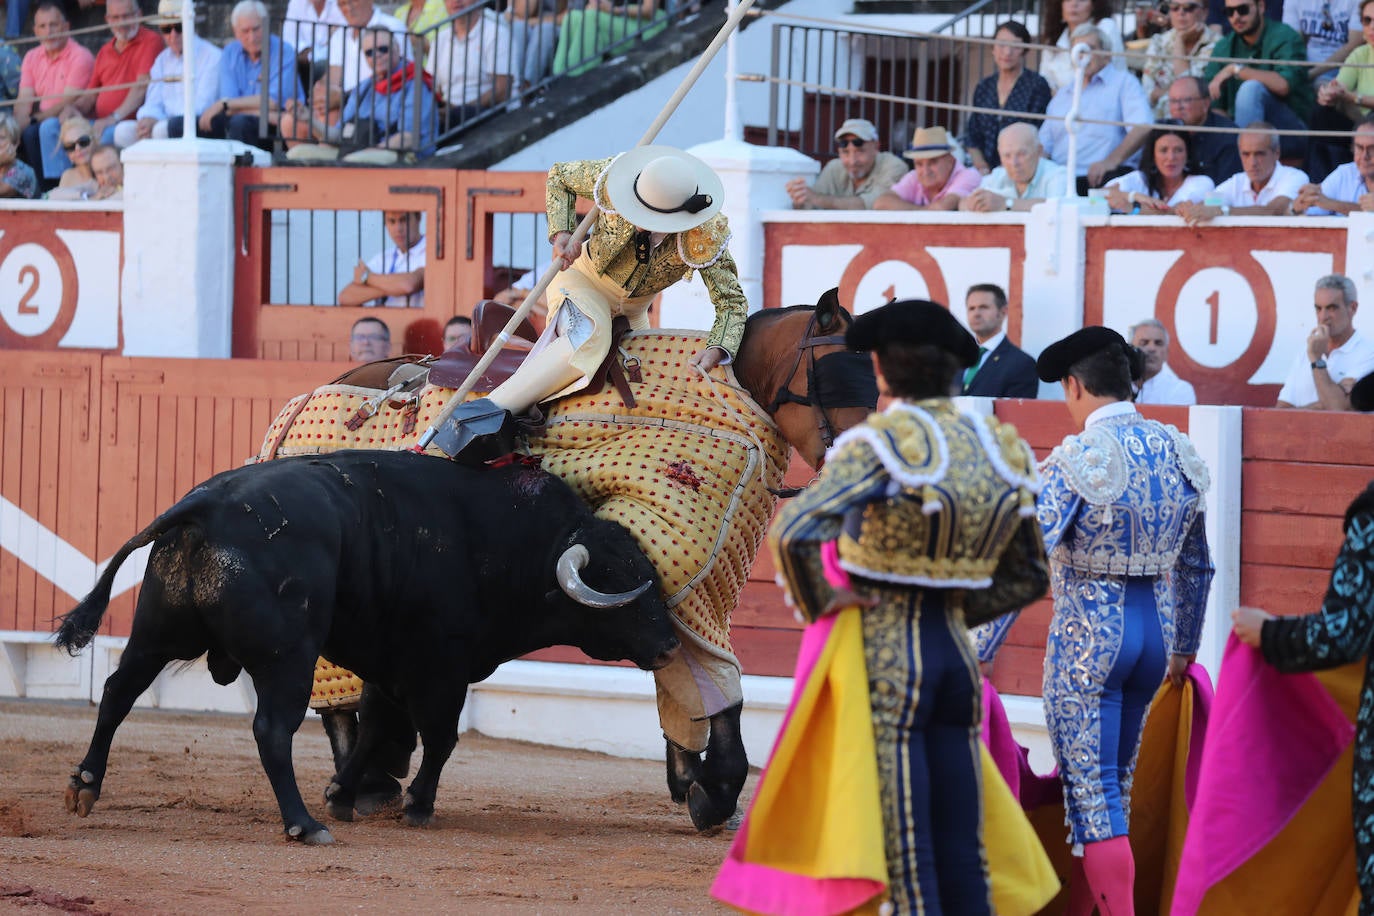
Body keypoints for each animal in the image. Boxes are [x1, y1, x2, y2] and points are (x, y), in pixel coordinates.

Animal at [56, 450, 678, 845]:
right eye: (622, 586)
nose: (670, 645)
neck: (517, 544)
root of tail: (207, 502)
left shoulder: (390, 662)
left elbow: (376, 727)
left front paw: (341, 793)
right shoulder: (441, 667)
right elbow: (442, 738)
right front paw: (417, 805)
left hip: (156, 633)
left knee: (118, 693)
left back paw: (84, 786)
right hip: (289, 657)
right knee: (271, 730)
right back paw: (305, 826)